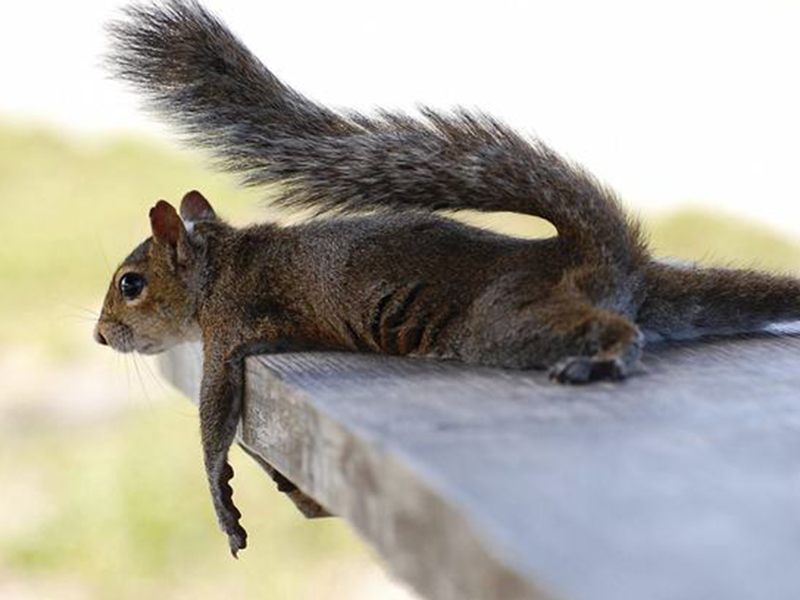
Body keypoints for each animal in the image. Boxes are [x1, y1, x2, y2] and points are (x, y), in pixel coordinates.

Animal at [95, 0, 800, 556]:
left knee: (610, 328)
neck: (218, 264)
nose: (101, 337)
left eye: (131, 284)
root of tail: (600, 255)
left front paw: (223, 503)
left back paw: (604, 356)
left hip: (503, 322)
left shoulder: (230, 326)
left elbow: (215, 419)